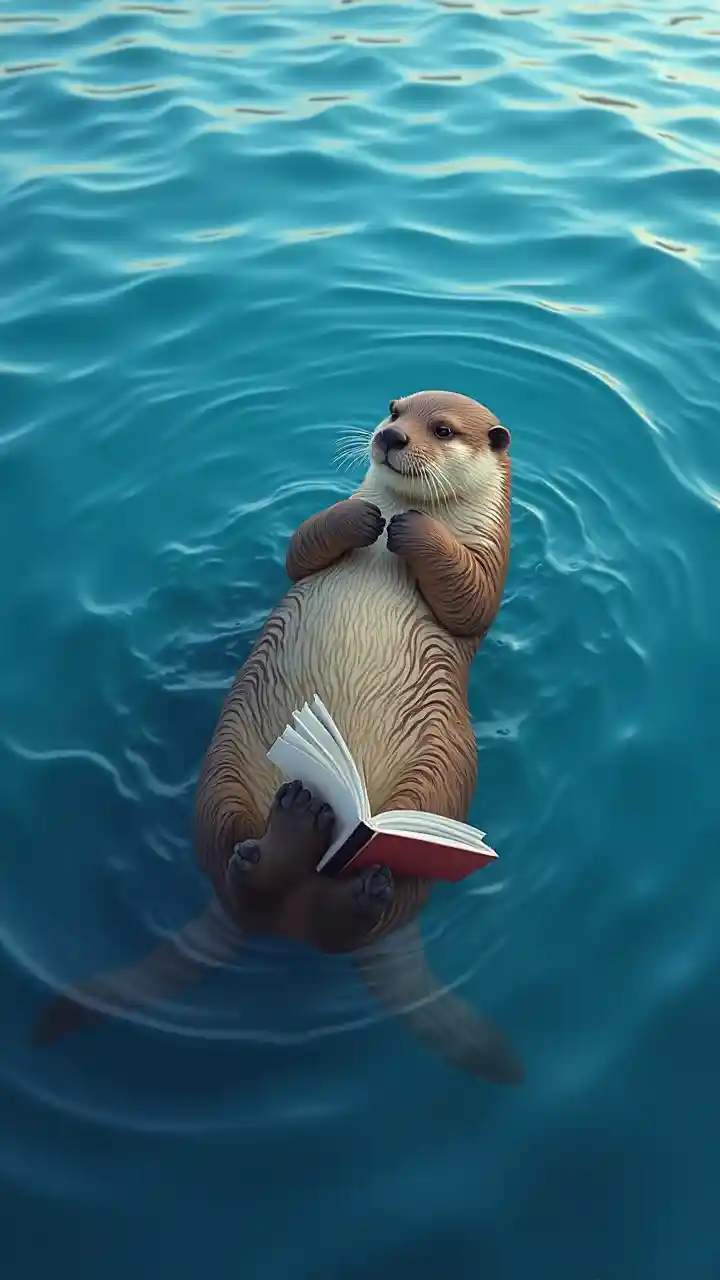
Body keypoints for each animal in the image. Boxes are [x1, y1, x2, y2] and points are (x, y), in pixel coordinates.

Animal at [33, 391, 524, 1084]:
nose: (391, 437)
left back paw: (351, 886)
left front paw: (412, 531)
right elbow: (302, 546)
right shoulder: (313, 541)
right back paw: (288, 837)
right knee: (243, 871)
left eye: (443, 429)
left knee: (349, 910)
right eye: (394, 406)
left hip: (437, 782)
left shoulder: (489, 562)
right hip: (225, 776)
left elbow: (472, 602)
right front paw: (362, 515)